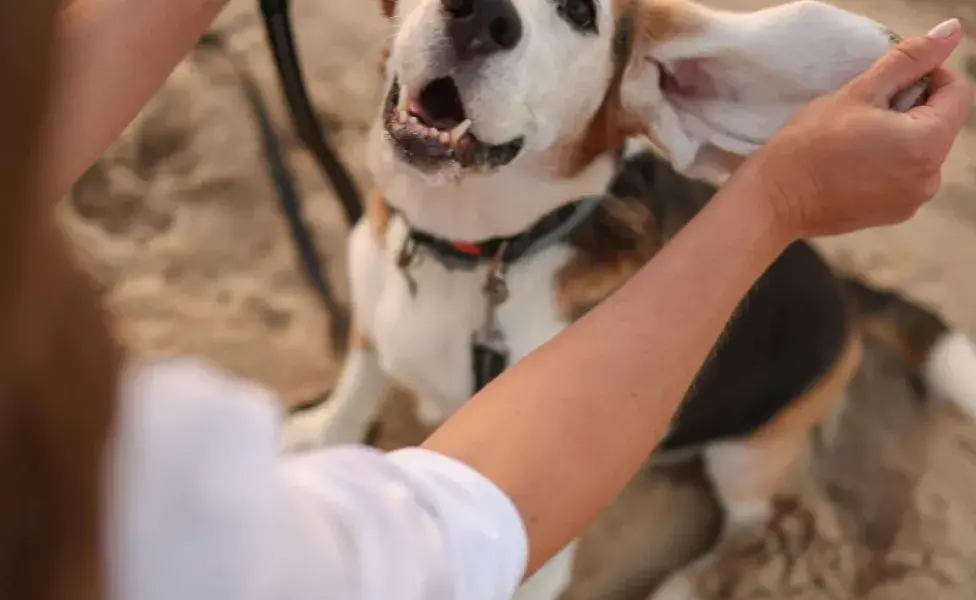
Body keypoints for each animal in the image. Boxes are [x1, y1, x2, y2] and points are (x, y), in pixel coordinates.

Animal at [282, 2, 976, 596]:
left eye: (580, 12)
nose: (482, 15)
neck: (475, 248)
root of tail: (849, 291)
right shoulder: (373, 319)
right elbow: (358, 384)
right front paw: (315, 436)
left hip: (748, 456)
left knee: (753, 527)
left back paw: (684, 585)